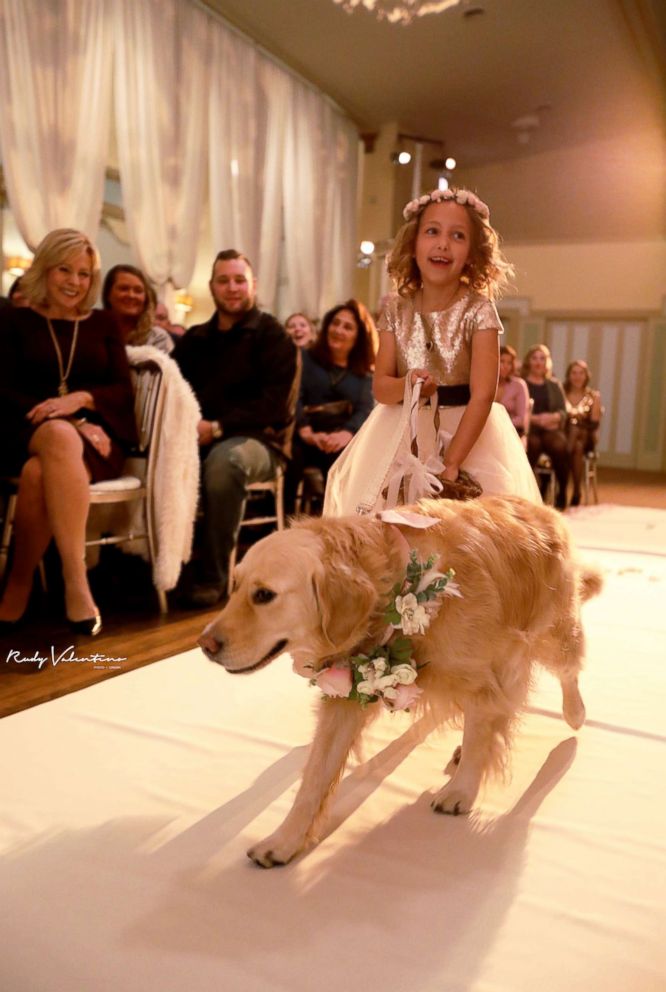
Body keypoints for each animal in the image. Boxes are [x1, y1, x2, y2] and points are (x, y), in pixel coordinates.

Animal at [198, 496, 600, 868]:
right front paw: (284, 841)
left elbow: (480, 732)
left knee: (568, 671)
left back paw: (575, 712)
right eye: (234, 587)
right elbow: (314, 778)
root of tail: (544, 507)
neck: (390, 582)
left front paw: (461, 791)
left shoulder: (482, 678)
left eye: (264, 595)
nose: (205, 644)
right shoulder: (346, 696)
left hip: (553, 631)